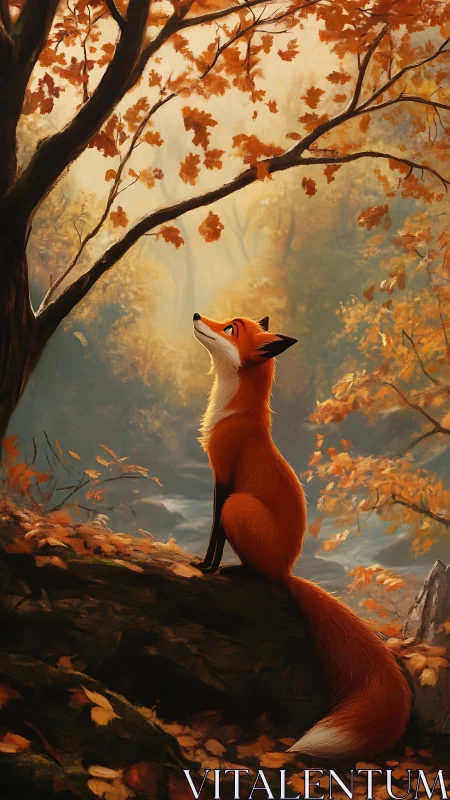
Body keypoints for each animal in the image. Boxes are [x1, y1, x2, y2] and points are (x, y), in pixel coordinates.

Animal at [192, 312, 411, 760]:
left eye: (230, 329)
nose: (196, 315)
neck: (232, 411)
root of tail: (289, 569)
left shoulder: (224, 480)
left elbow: (214, 534)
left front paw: (206, 567)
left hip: (240, 505)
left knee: (262, 574)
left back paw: (239, 572)